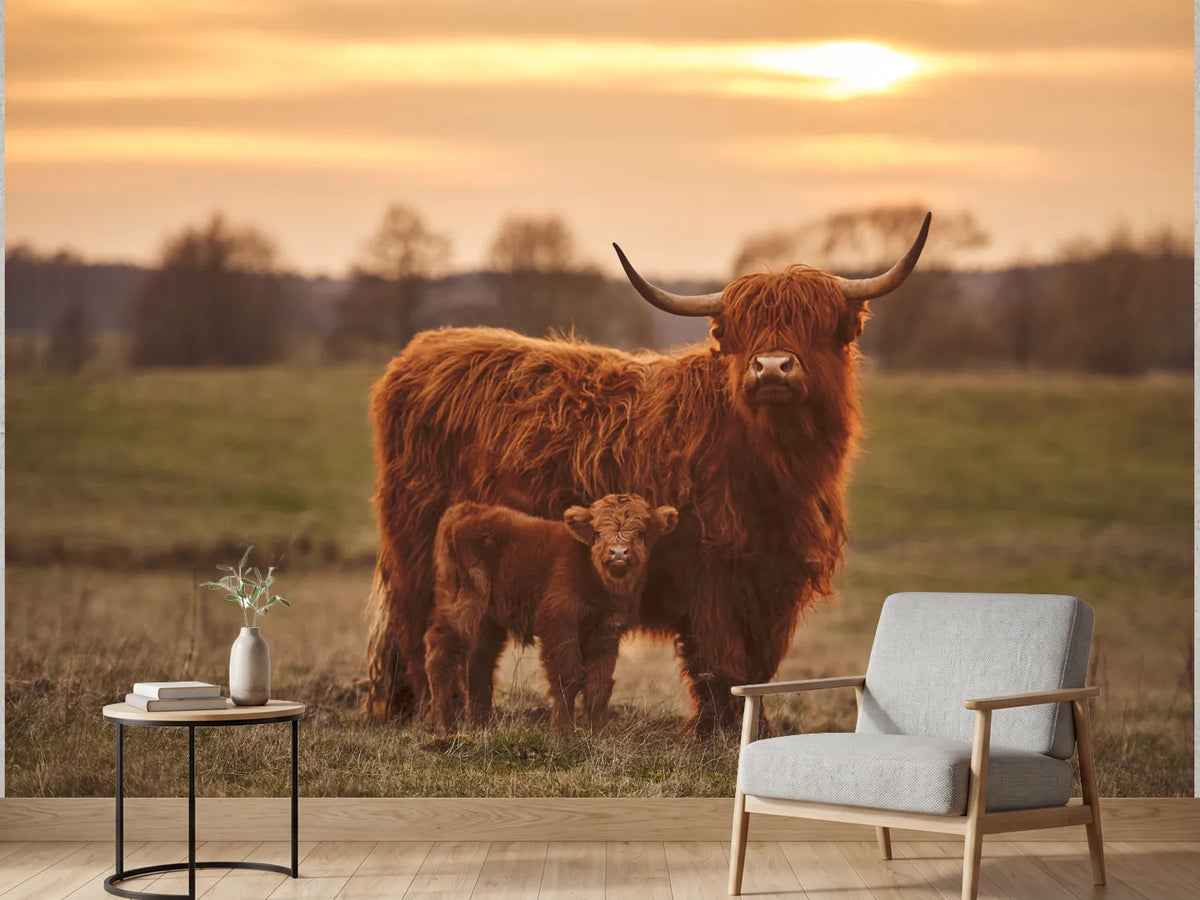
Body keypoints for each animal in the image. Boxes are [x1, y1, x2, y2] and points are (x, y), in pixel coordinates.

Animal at [424, 494, 678, 732]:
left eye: (641, 532)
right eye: (597, 532)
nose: (618, 553)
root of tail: (466, 510)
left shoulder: (607, 633)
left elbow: (599, 684)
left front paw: (599, 731)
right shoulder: (559, 624)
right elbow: (567, 677)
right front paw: (562, 731)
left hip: (488, 622)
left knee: (478, 664)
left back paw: (483, 724)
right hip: (463, 605)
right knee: (440, 652)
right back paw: (444, 725)